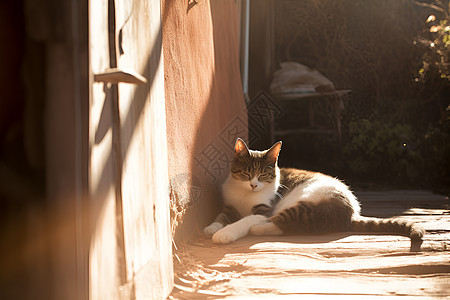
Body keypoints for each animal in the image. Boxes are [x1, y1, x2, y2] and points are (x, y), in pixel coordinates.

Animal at [204, 138, 426, 251]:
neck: (245, 195)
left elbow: (246, 219)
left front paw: (225, 233)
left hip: (305, 201)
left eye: (264, 174)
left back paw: (258, 229)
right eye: (246, 173)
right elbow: (221, 215)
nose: (253, 185)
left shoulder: (265, 208)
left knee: (285, 222)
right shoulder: (230, 204)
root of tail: (352, 212)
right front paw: (212, 227)